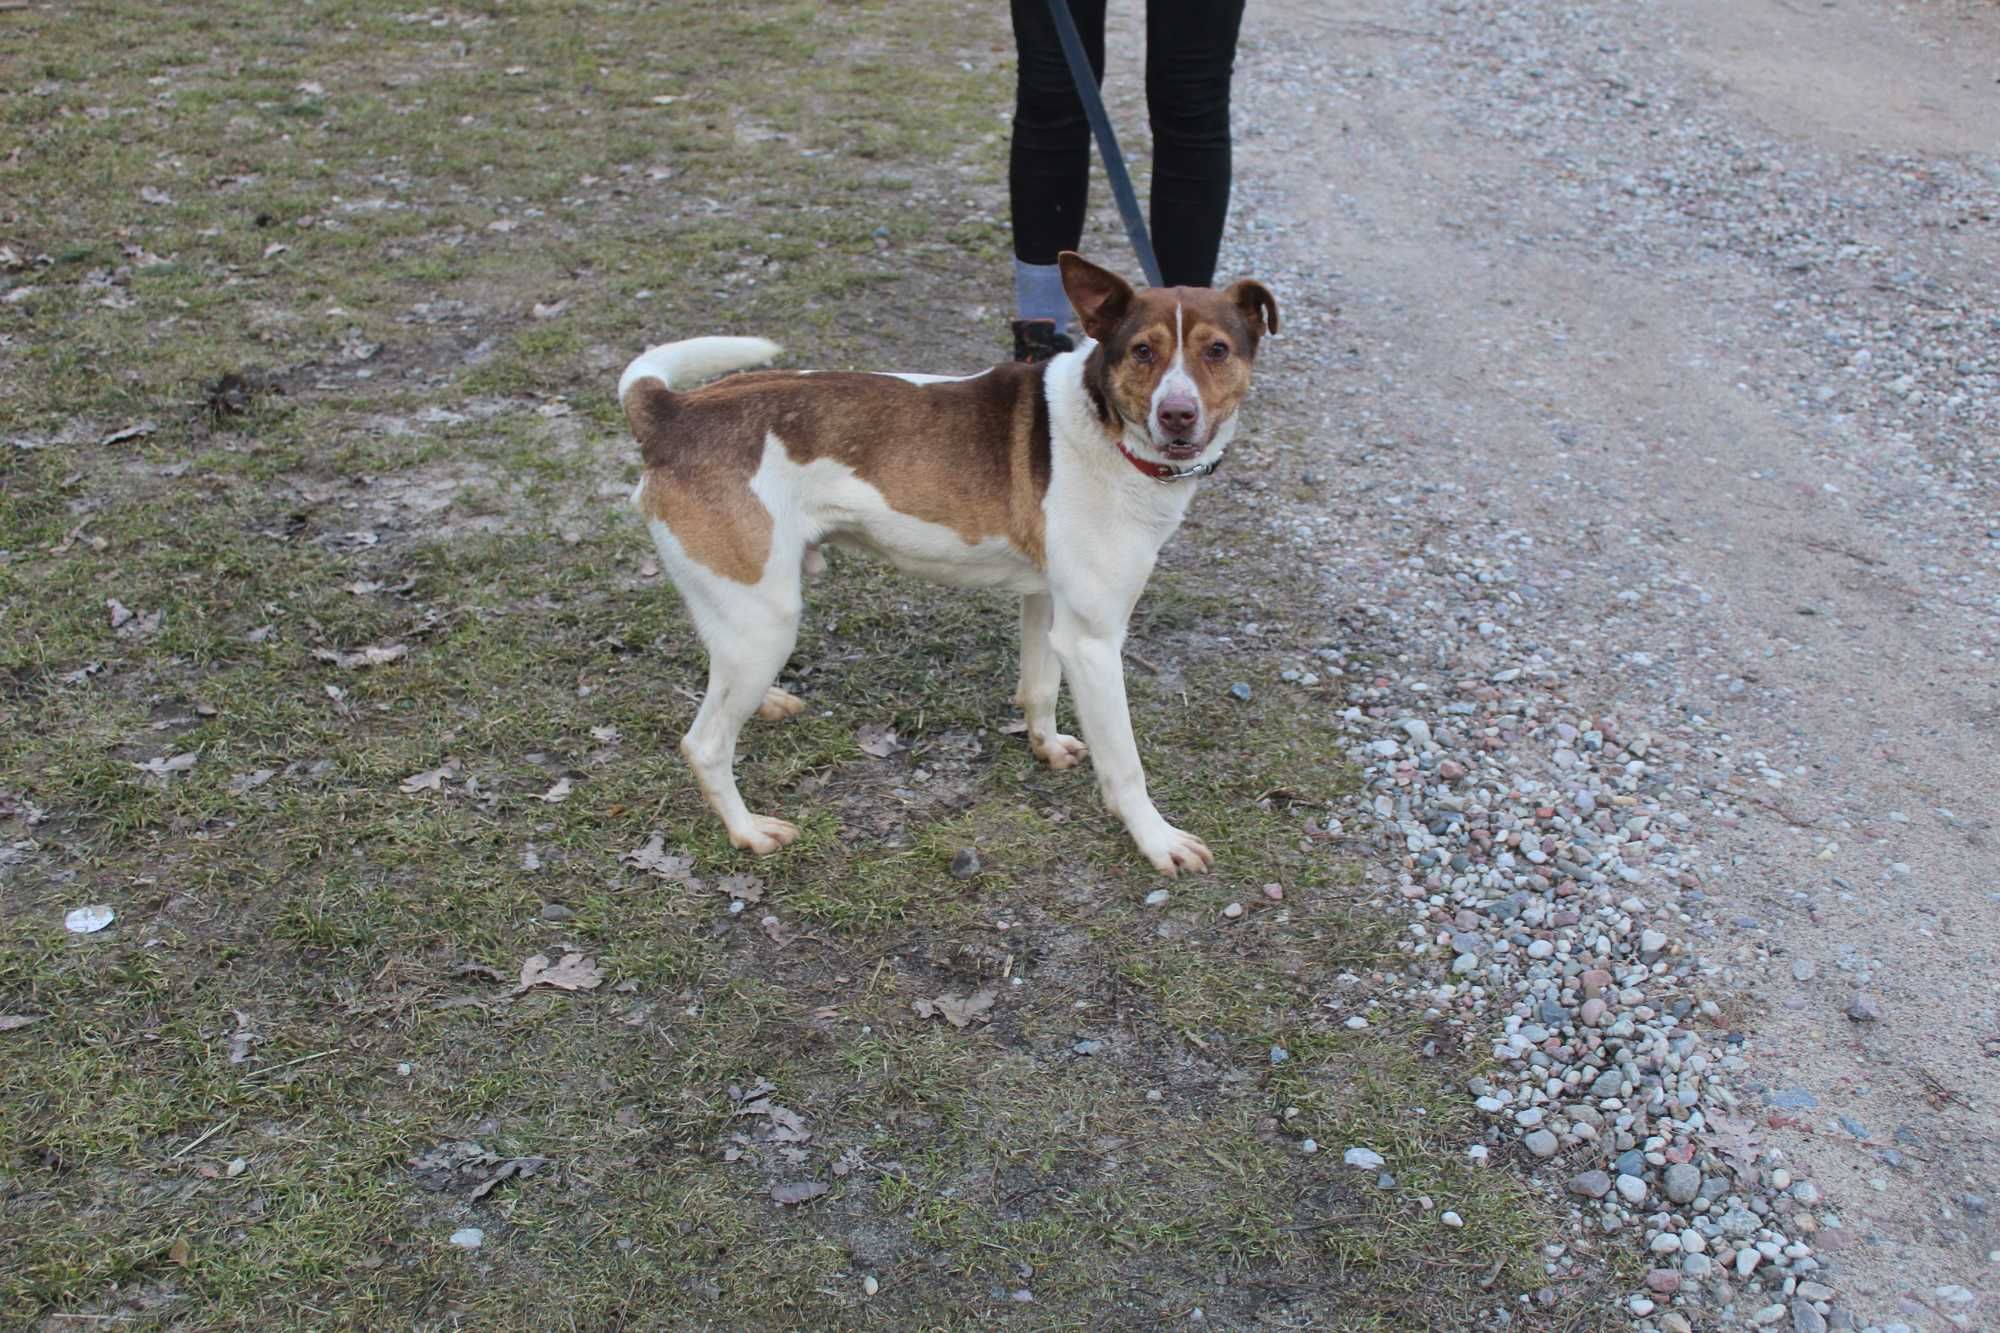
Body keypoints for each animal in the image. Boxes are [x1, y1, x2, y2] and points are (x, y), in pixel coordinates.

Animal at [620, 252, 1280, 872]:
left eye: (1217, 350)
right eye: (1144, 350)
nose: (1177, 414)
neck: (1107, 427)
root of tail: (673, 411)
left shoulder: (1047, 604)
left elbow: (1039, 687)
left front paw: (1045, 746)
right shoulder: (1094, 642)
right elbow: (1125, 764)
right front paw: (1157, 839)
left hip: (744, 610)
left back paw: (768, 701)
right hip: (767, 619)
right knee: (705, 744)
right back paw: (748, 831)